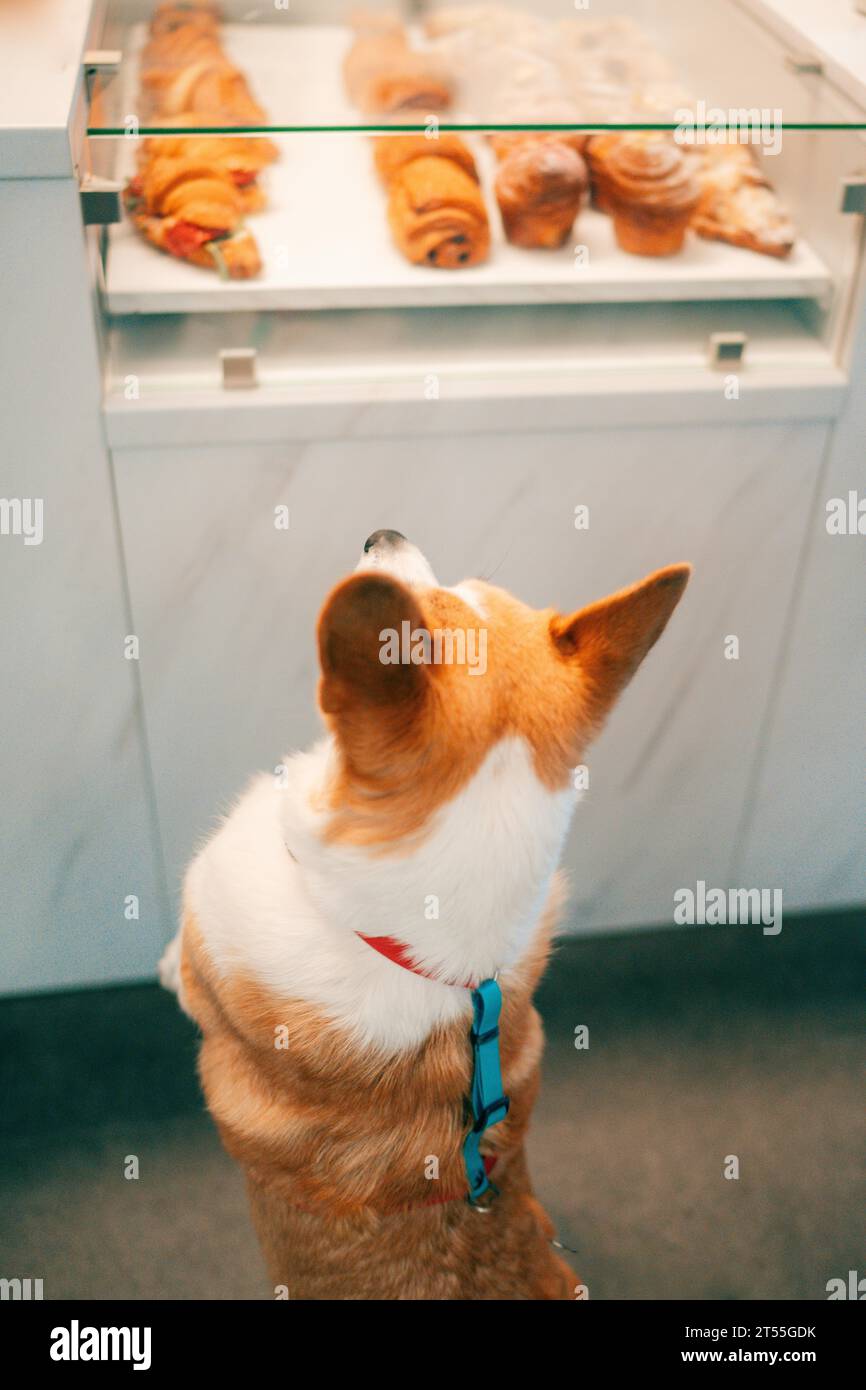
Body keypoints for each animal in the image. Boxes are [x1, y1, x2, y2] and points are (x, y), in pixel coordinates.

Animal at [161, 530, 692, 1301]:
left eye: (432, 601)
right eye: (465, 584)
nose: (383, 535)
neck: (423, 955)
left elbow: (182, 965)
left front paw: (165, 967)